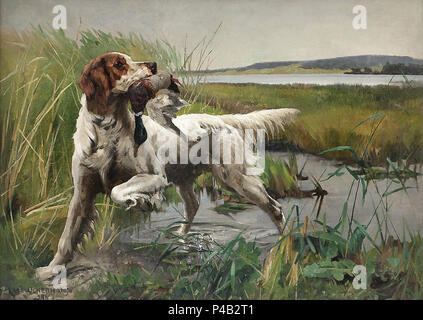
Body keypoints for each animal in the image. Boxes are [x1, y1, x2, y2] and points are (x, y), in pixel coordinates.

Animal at [37, 52, 302, 280]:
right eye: (119, 64)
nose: (153, 65)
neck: (108, 131)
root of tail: (219, 119)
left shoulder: (155, 177)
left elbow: (117, 191)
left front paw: (142, 201)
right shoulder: (82, 192)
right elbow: (67, 236)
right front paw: (52, 269)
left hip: (237, 178)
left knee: (275, 208)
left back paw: (284, 246)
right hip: (186, 179)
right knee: (193, 205)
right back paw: (179, 238)